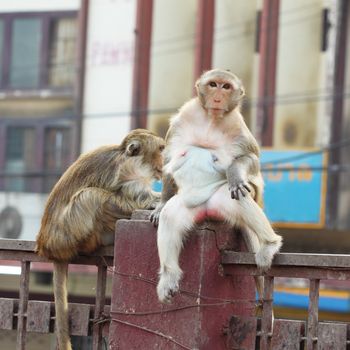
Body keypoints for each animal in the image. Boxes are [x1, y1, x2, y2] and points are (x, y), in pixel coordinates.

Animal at [35, 129, 165, 350]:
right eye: (161, 149)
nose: (165, 161)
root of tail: (48, 247)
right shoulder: (128, 174)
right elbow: (135, 196)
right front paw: (157, 203)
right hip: (70, 232)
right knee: (90, 196)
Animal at [150, 69, 282, 304]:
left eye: (226, 87)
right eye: (213, 84)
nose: (218, 96)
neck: (211, 119)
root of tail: (207, 210)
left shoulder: (238, 128)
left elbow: (252, 159)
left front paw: (235, 173)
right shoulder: (182, 120)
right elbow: (169, 161)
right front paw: (161, 203)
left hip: (219, 200)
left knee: (237, 199)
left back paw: (269, 245)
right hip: (191, 207)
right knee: (171, 217)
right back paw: (169, 277)